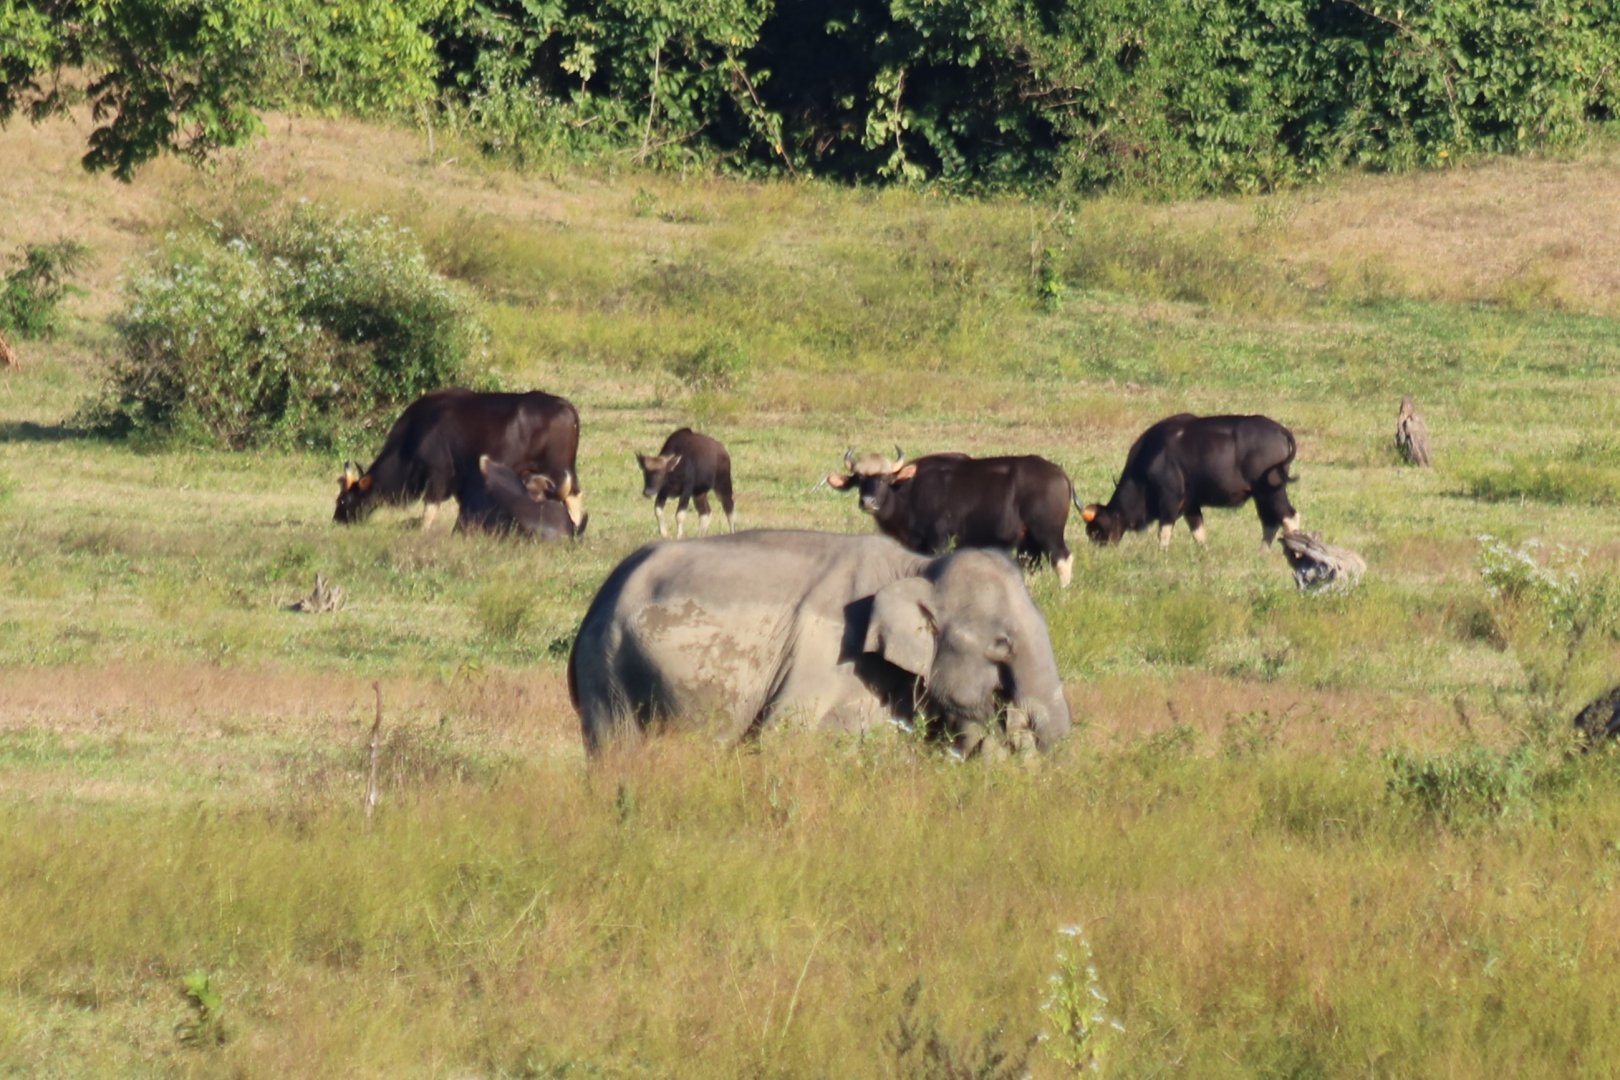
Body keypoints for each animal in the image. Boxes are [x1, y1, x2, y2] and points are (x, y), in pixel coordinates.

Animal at [568, 530, 1071, 756]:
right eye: (1002, 643)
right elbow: (783, 736)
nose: (1014, 720)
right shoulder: (823, 655)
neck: (916, 568)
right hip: (609, 671)